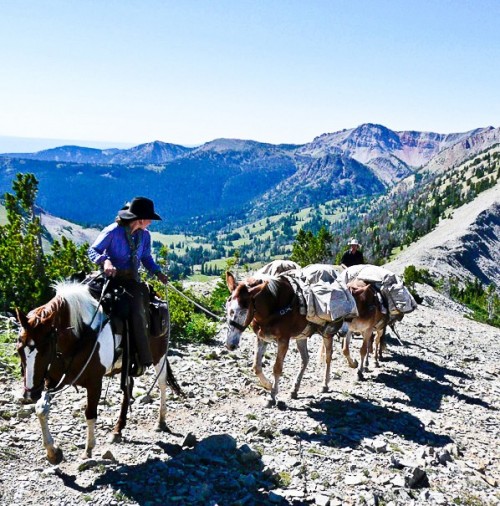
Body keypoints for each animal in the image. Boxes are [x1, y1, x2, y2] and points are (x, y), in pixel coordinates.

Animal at [16, 280, 183, 462]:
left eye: (45, 350)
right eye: (19, 350)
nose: (30, 394)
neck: (81, 335)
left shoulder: (95, 381)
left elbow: (90, 413)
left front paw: (88, 449)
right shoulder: (52, 380)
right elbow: (41, 410)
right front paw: (52, 452)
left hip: (159, 355)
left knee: (162, 383)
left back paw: (160, 422)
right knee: (128, 389)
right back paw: (117, 430)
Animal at [225, 270, 342, 406]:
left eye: (243, 311)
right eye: (227, 307)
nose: (230, 344)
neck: (273, 307)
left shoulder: (283, 341)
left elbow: (277, 368)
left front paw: (272, 396)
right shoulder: (261, 338)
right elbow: (256, 367)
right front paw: (269, 385)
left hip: (327, 333)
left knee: (328, 356)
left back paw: (325, 384)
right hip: (301, 336)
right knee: (305, 359)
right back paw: (294, 389)